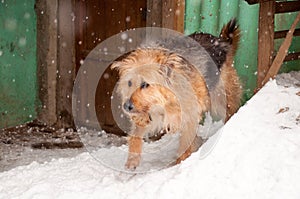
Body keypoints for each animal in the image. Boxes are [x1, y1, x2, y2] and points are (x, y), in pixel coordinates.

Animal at [111, 19, 243, 169]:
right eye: (129, 83)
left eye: (145, 84)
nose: (126, 106)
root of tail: (222, 41)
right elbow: (135, 135)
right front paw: (132, 160)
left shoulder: (190, 114)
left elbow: (185, 143)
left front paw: (181, 164)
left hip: (222, 99)